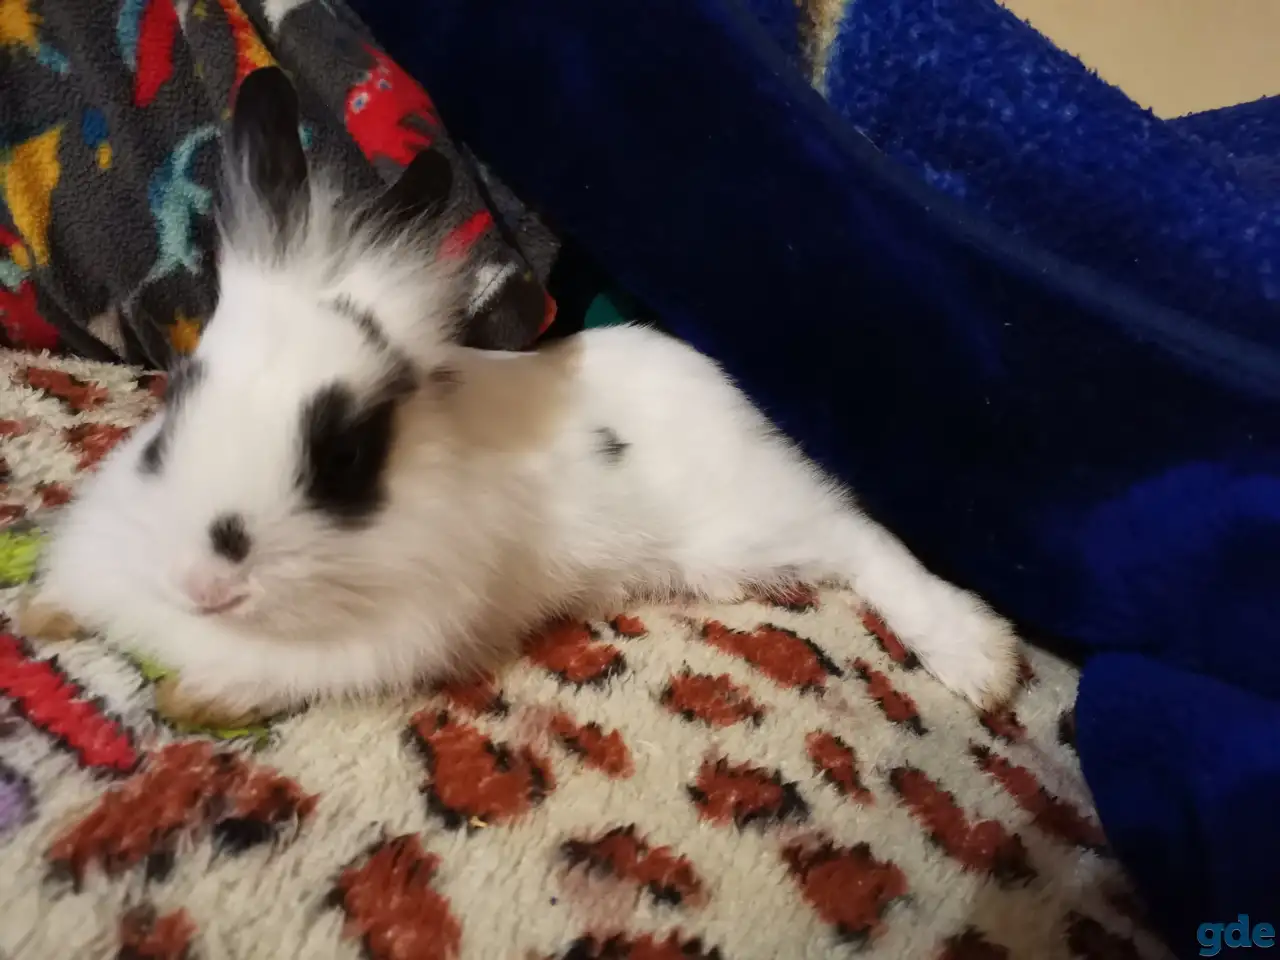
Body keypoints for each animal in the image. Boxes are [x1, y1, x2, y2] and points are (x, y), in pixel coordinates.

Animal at [25, 67, 1020, 728]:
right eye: (170, 418)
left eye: (344, 457)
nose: (203, 586)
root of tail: (730, 395)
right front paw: (45, 613)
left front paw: (197, 696)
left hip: (753, 520)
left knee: (857, 535)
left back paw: (981, 661)